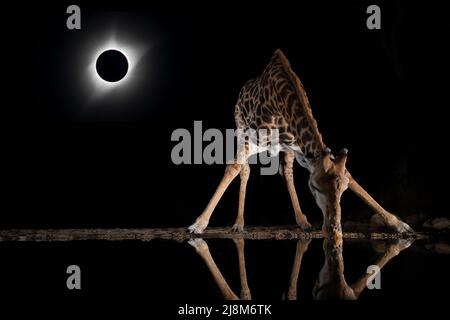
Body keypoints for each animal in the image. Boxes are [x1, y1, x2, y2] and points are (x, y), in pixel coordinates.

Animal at [187, 49, 414, 235]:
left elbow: (347, 174)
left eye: (343, 190)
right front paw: (198, 224)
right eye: (315, 188)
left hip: (285, 149)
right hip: (241, 130)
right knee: (244, 169)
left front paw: (398, 224)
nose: (333, 227)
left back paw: (303, 222)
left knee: (285, 171)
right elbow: (234, 167)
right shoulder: (252, 138)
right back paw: (239, 223)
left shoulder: (301, 149)